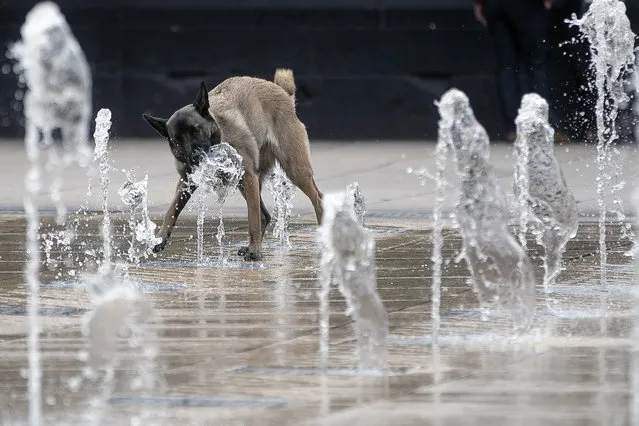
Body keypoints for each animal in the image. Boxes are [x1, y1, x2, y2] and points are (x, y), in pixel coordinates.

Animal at [144, 68, 324, 262]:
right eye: (176, 140)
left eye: (196, 130)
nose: (196, 157)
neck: (220, 138)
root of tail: (282, 92)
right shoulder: (187, 181)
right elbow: (172, 210)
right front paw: (160, 238)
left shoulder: (248, 176)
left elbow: (252, 219)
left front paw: (255, 252)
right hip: (247, 183)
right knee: (265, 215)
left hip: (293, 169)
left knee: (317, 199)